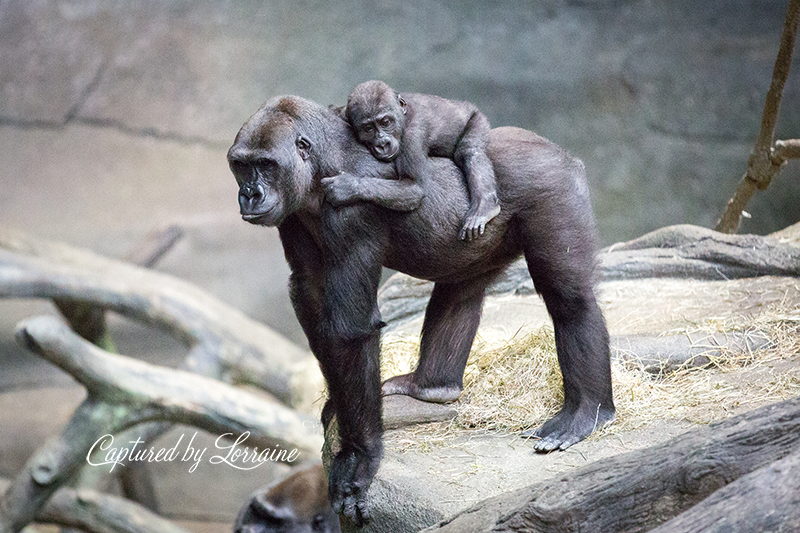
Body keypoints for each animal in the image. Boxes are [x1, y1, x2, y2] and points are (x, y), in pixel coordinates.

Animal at [342, 80, 500, 240]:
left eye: (385, 122)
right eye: (368, 129)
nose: (382, 144)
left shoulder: (412, 135)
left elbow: (414, 186)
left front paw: (349, 186)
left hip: (477, 119)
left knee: (470, 150)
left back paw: (484, 207)